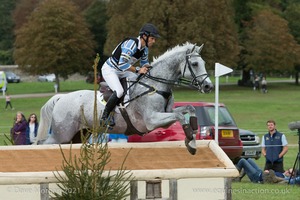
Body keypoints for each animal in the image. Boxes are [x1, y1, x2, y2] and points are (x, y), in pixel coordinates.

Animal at [35, 42, 213, 155]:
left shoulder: (165, 113)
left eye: (203, 62)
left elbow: (188, 108)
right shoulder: (151, 120)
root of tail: (60, 98)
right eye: (195, 64)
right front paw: (191, 141)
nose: (208, 86)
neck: (155, 84)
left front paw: (193, 135)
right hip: (62, 134)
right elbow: (180, 116)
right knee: (43, 143)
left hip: (78, 134)